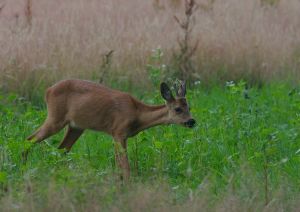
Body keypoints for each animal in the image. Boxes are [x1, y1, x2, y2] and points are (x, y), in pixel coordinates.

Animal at [27, 80, 196, 181]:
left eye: (189, 107)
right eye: (178, 109)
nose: (192, 121)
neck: (137, 114)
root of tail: (48, 91)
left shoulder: (117, 135)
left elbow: (117, 162)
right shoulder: (119, 131)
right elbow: (125, 164)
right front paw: (128, 184)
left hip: (76, 126)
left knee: (61, 149)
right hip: (55, 118)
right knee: (30, 139)